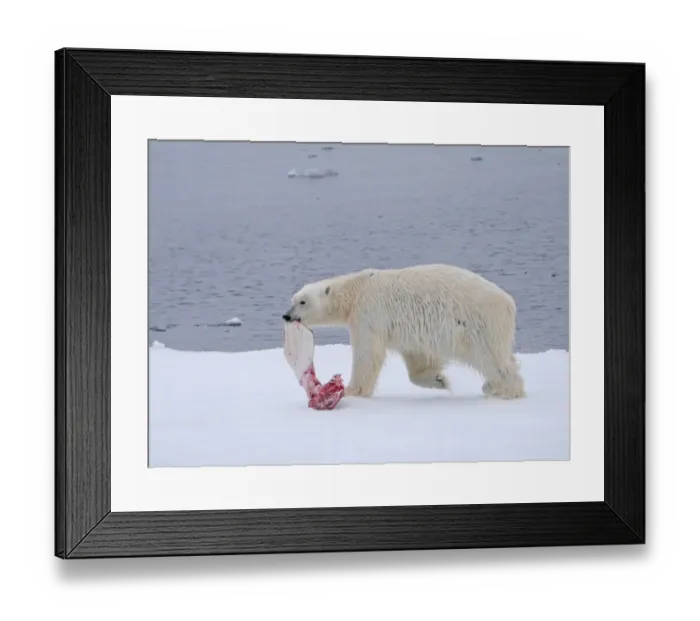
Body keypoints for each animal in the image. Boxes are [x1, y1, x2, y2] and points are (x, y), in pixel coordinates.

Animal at [283, 264, 525, 400]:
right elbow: (417, 357)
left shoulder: (369, 312)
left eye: (302, 302)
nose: (286, 315)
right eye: (293, 300)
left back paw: (504, 389)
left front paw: (352, 390)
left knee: (491, 357)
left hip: (478, 323)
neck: (356, 289)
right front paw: (439, 380)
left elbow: (368, 353)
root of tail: (509, 302)